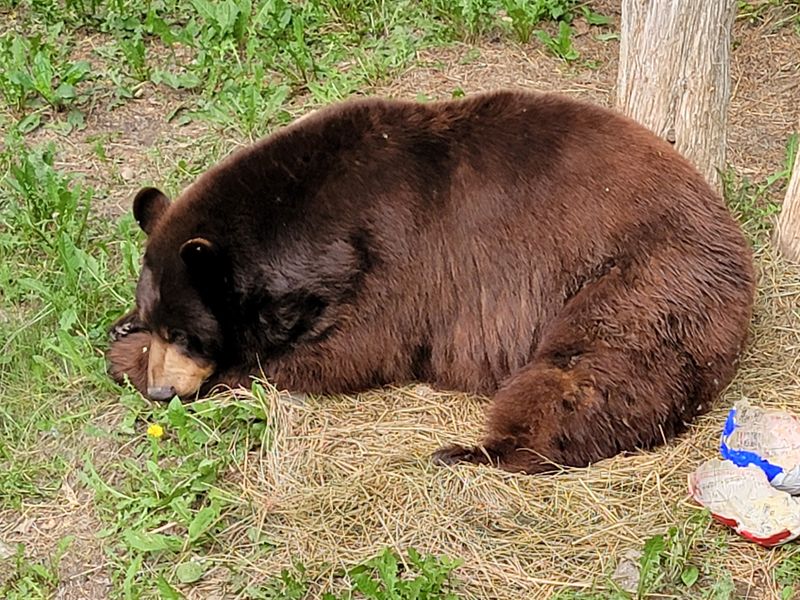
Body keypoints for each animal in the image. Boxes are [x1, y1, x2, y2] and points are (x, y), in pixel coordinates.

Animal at [108, 89, 755, 474]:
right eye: (158, 319)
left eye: (187, 333)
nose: (162, 392)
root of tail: (727, 228)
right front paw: (122, 338)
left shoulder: (403, 262)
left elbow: (351, 350)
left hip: (643, 281)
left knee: (585, 374)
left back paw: (473, 449)